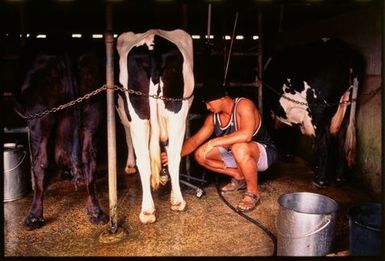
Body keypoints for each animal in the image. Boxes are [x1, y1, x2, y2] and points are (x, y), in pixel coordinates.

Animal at [115, 29, 194, 222]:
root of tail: (152, 45)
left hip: (140, 113)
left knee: (144, 157)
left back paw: (148, 210)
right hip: (176, 110)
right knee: (171, 154)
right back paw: (174, 201)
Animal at [262, 37, 364, 186]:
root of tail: (346, 51)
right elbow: (291, 130)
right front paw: (289, 155)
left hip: (318, 109)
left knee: (324, 141)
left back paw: (320, 180)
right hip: (345, 109)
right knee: (341, 140)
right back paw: (339, 178)